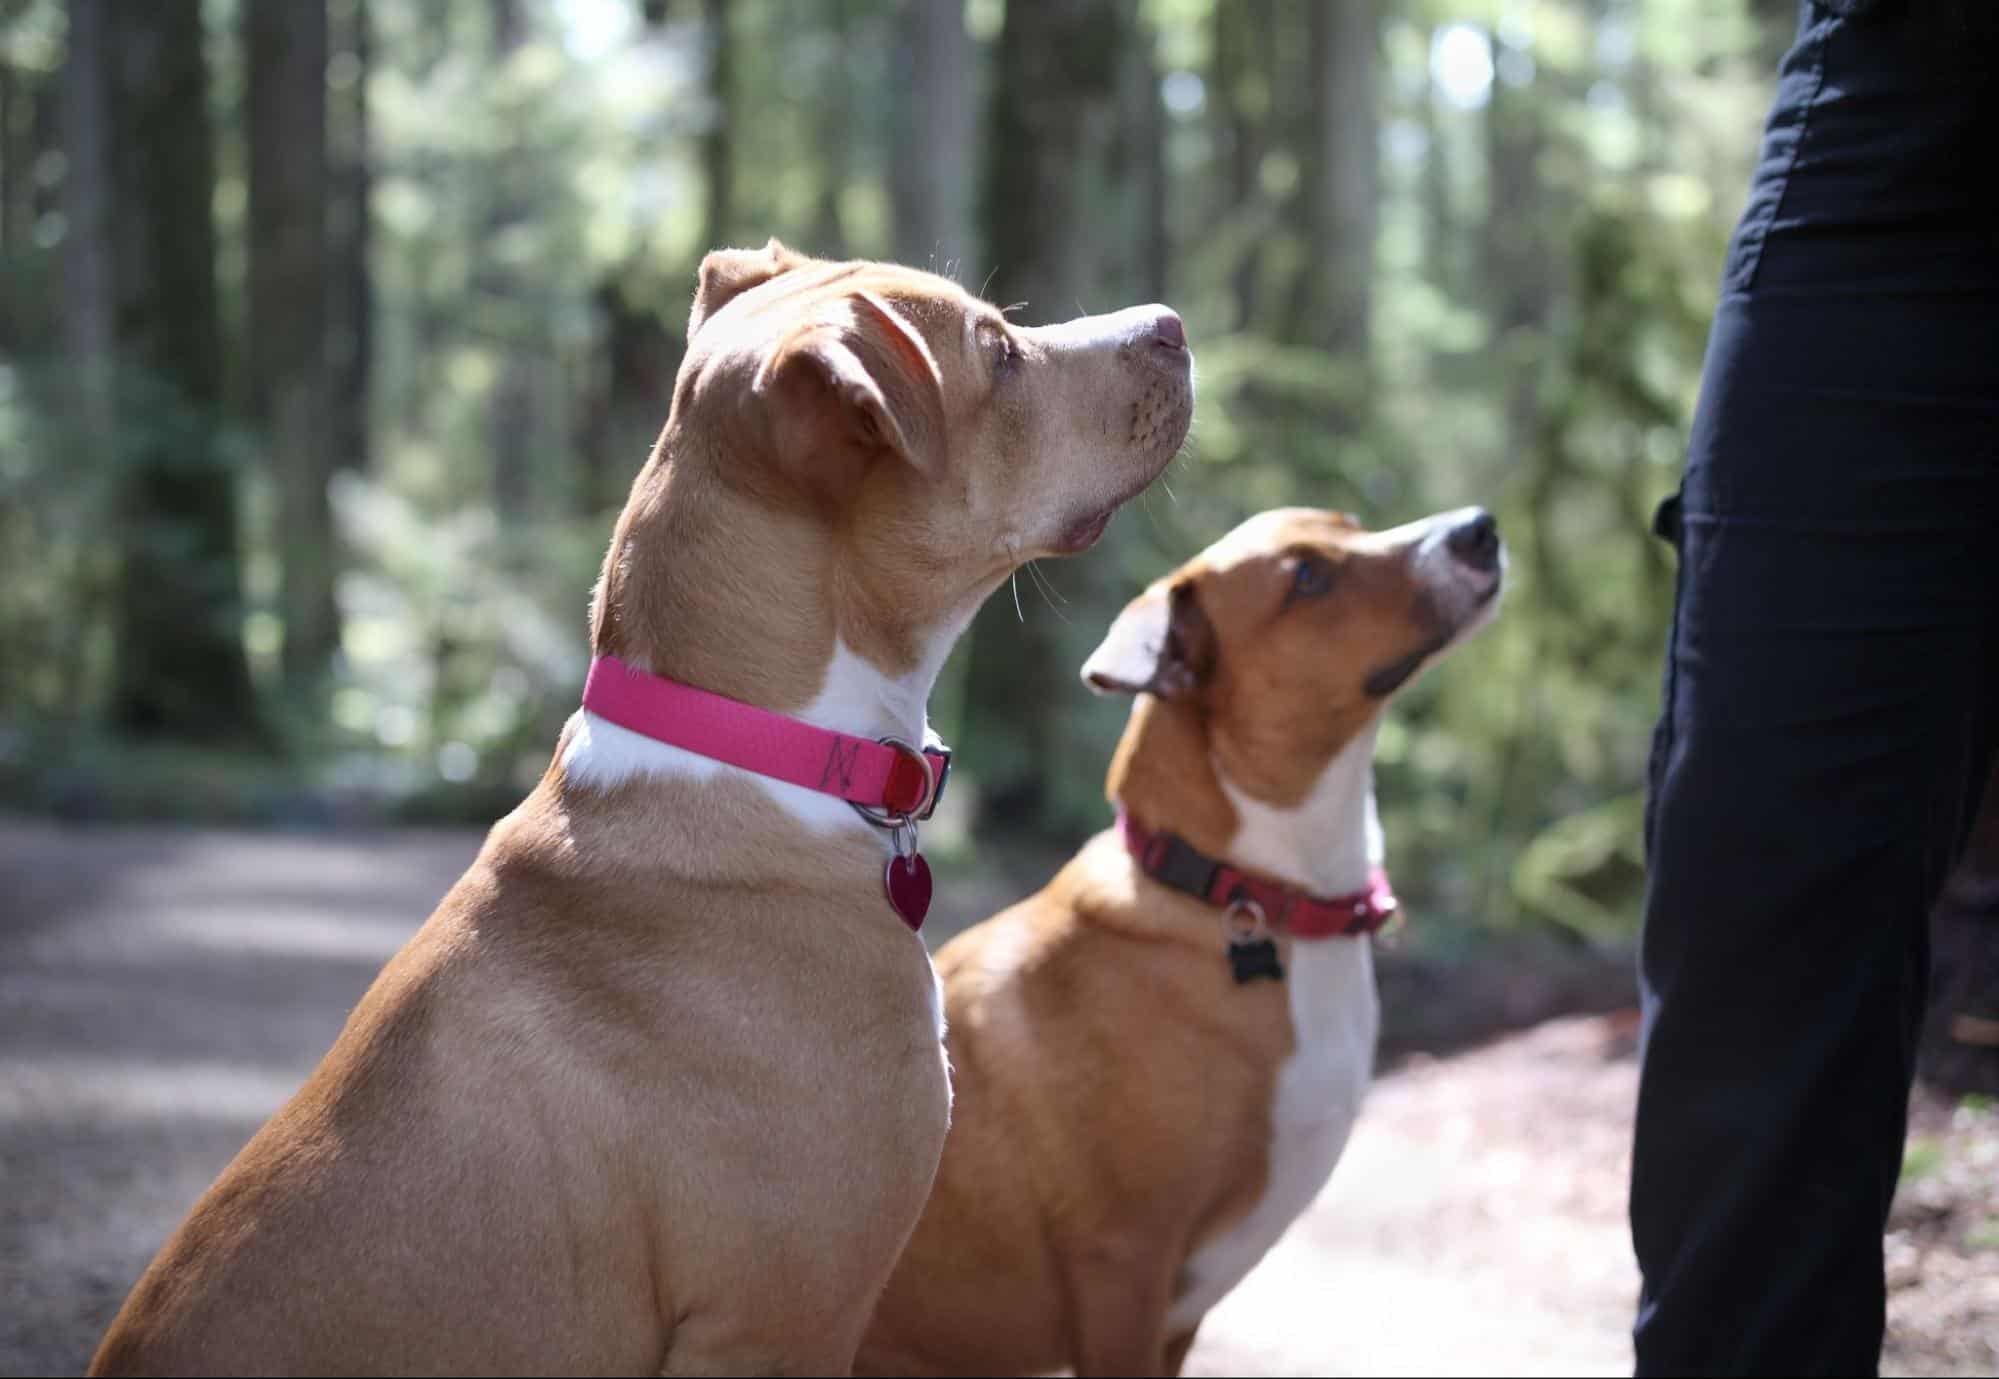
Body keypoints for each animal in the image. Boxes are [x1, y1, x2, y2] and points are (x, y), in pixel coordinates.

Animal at [855, 505, 1503, 1375]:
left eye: (1355, 526)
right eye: (1307, 578)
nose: (1478, 528)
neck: (1247, 894)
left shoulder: (1176, 1314)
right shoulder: (1123, 1268)